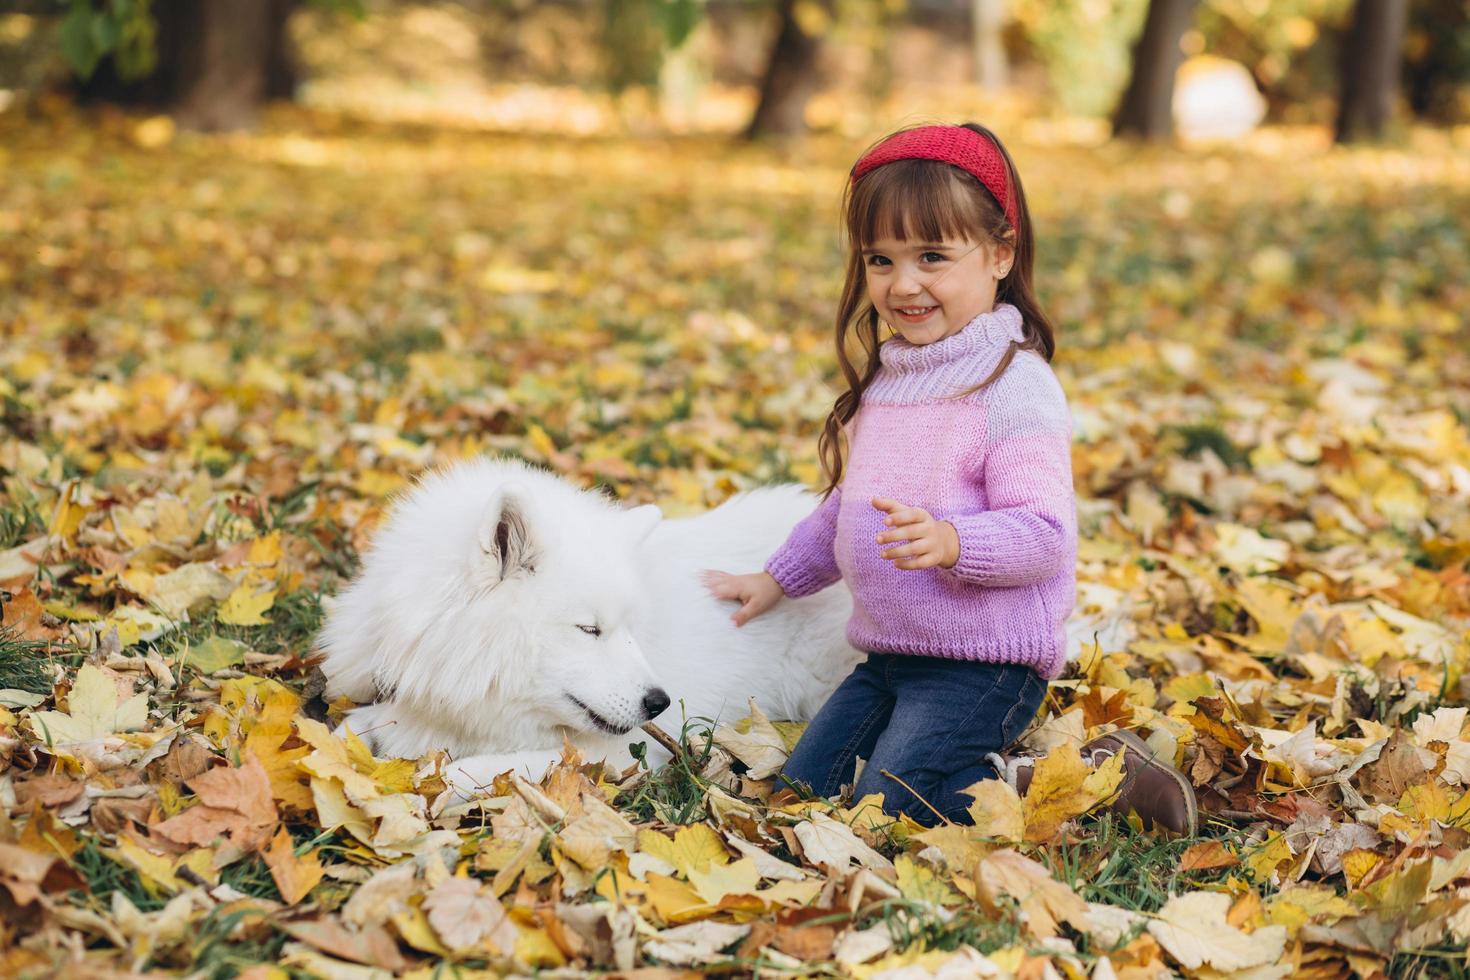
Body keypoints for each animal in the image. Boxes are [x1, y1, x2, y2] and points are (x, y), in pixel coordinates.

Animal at [311, 458, 858, 799]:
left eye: (631, 629)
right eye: (589, 630)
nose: (659, 702)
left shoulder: (617, 753)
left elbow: (474, 771)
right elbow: (348, 727)